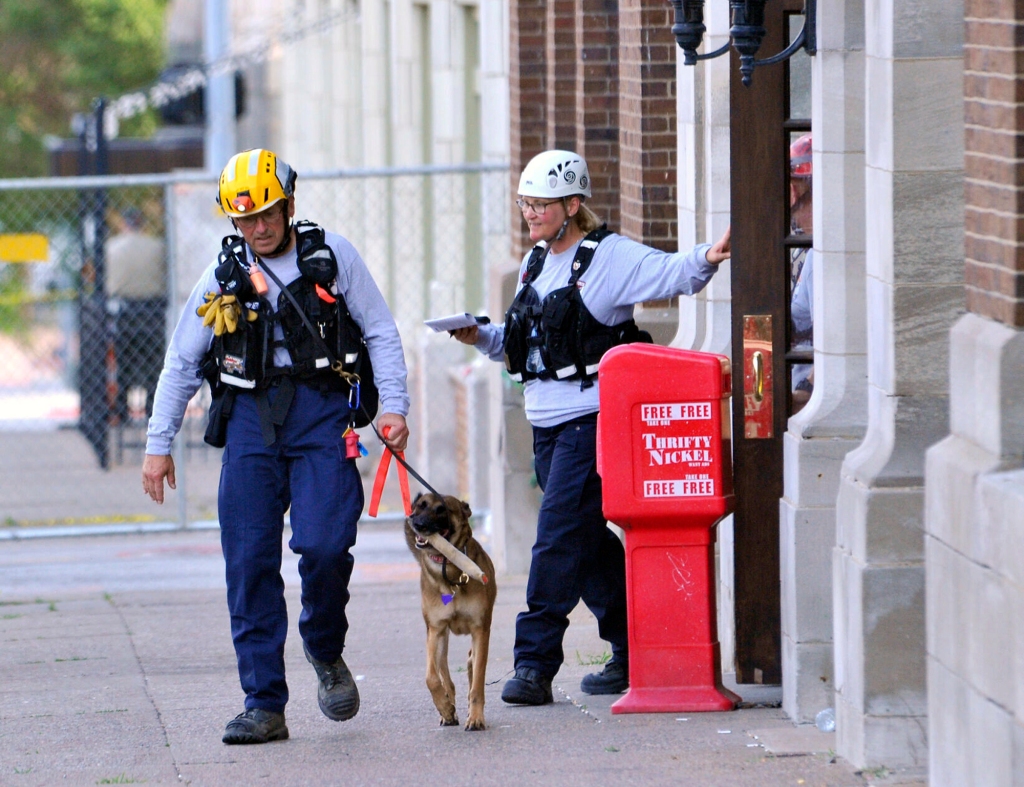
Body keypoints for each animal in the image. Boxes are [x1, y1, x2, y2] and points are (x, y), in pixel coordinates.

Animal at [403, 491, 495, 728]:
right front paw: (445, 708)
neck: (450, 566)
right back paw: (448, 710)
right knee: (445, 674)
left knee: (472, 664)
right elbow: (431, 678)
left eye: (442, 510)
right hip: (441, 639)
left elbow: (477, 682)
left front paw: (476, 717)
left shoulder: (480, 630)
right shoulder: (435, 630)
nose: (418, 524)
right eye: (420, 506)